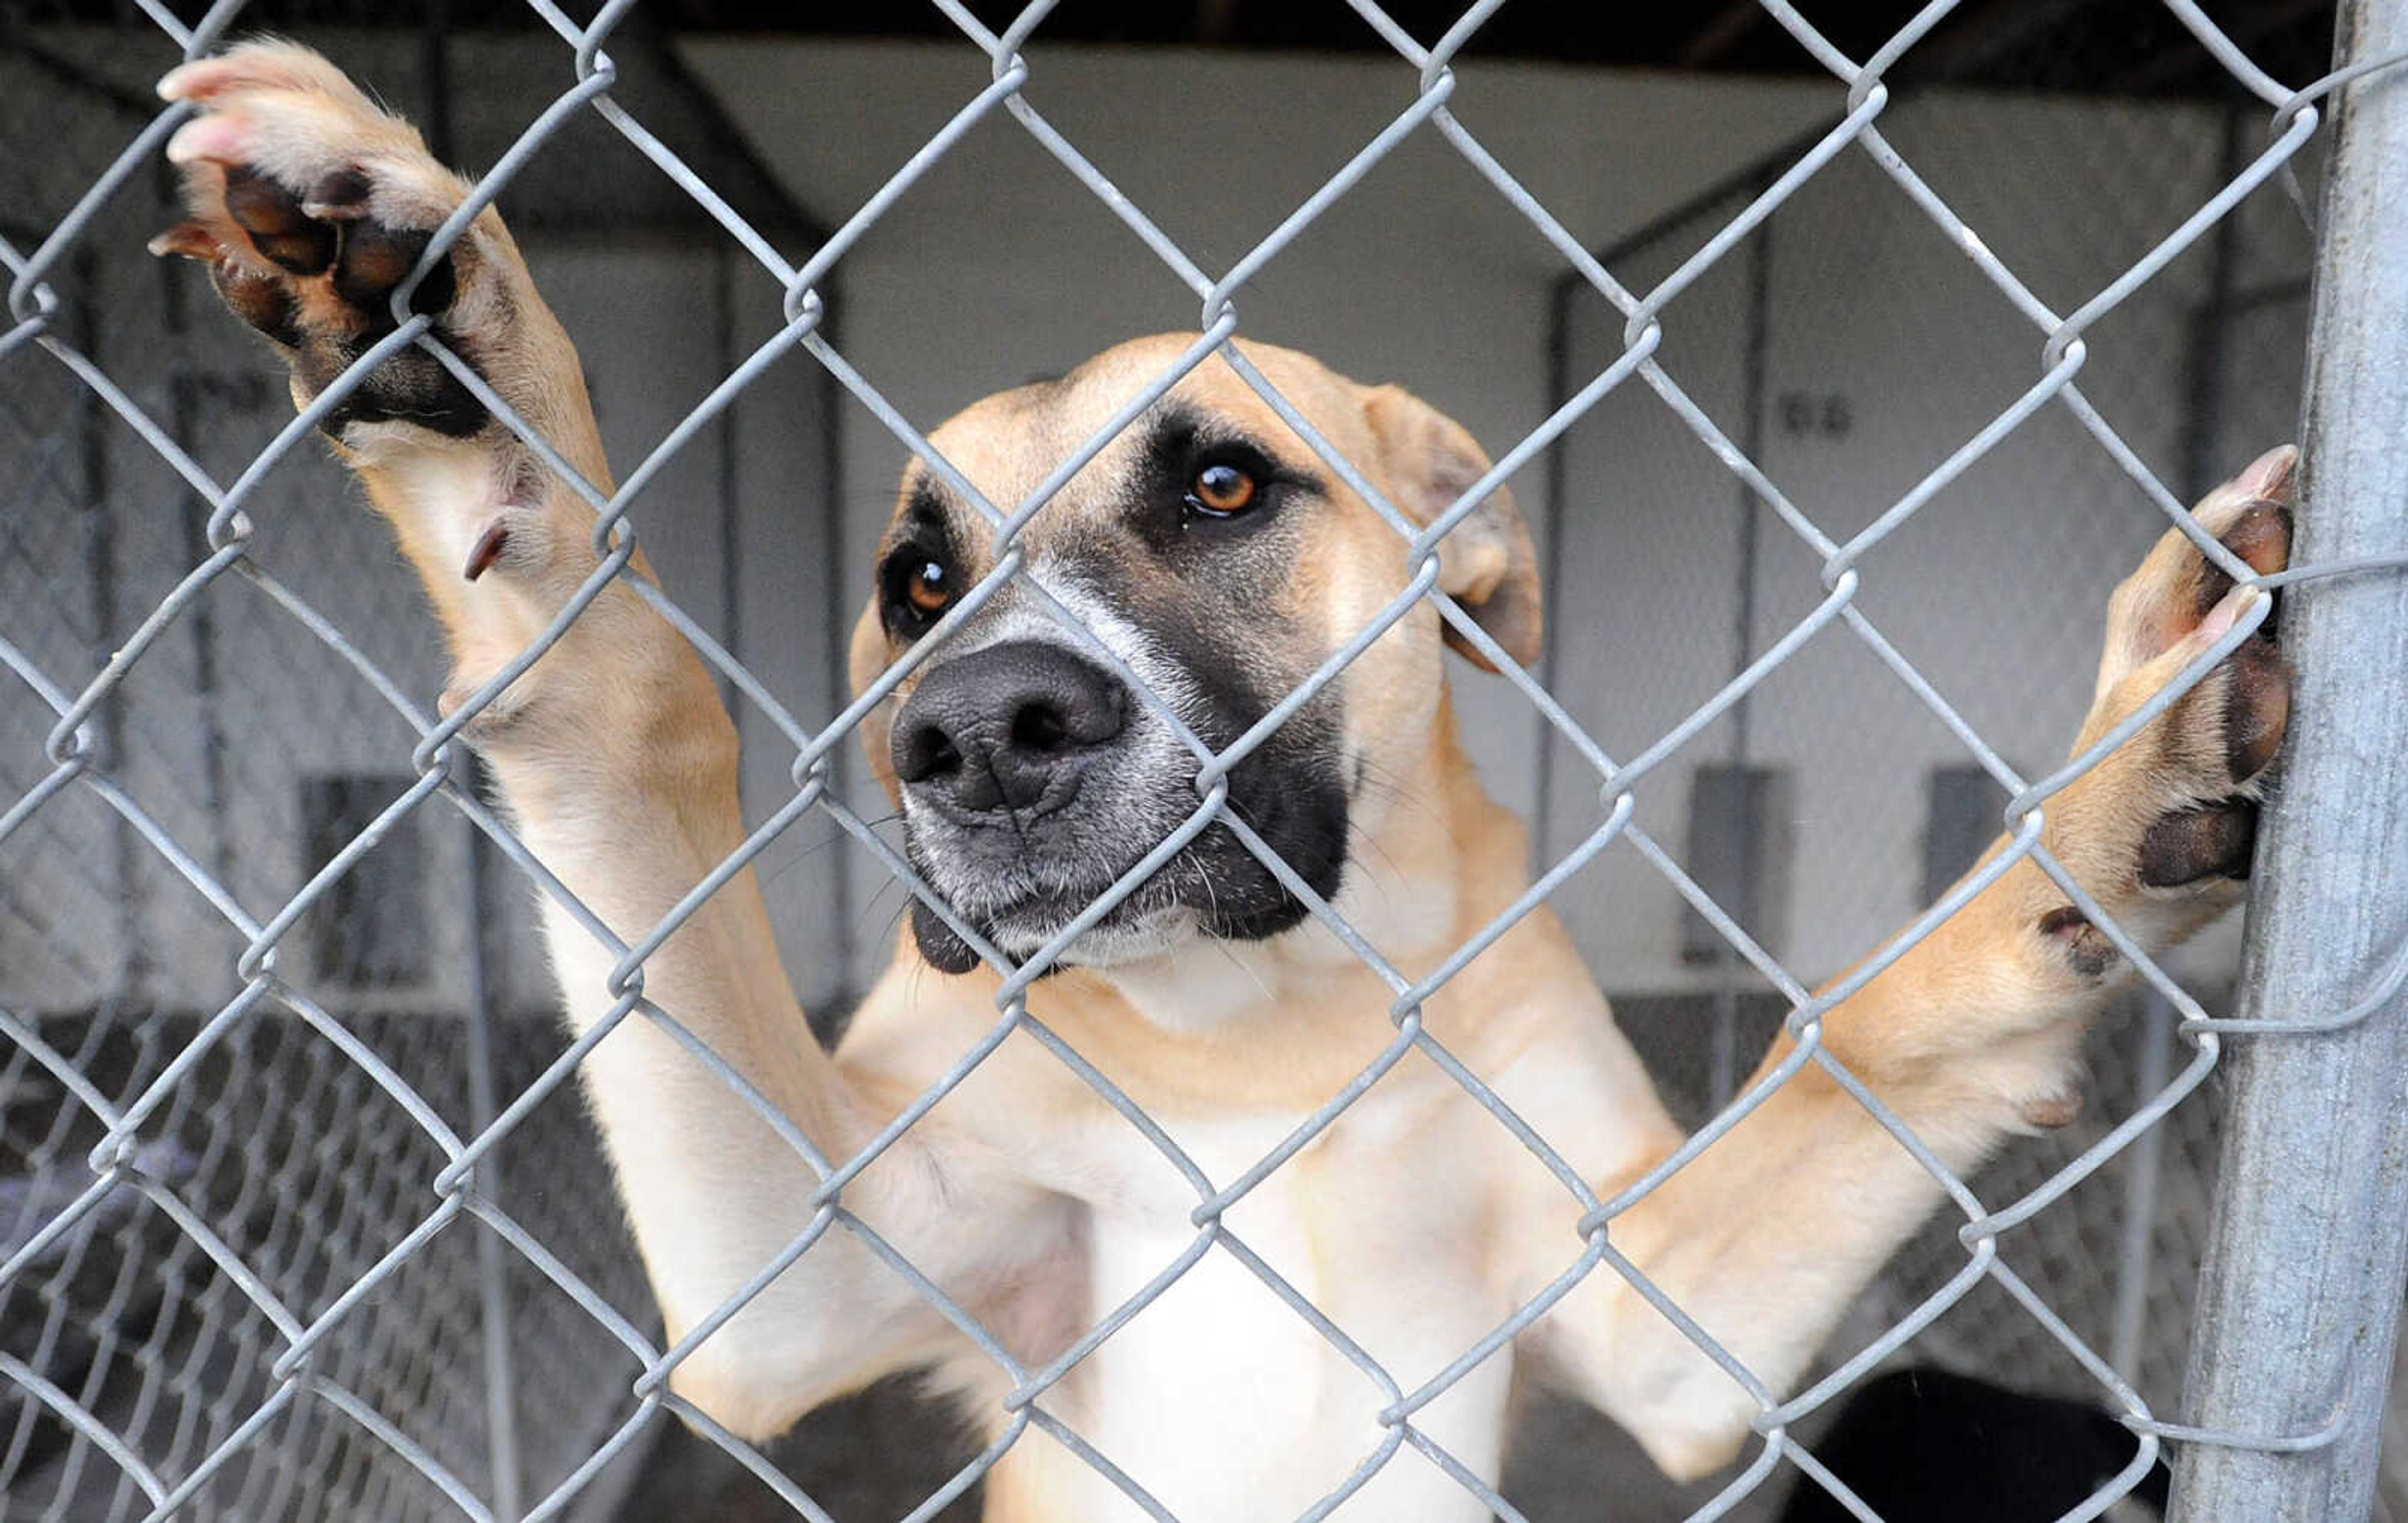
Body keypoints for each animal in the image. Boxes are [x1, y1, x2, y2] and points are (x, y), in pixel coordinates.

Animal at [150, 41, 2292, 1510]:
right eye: (915, 581)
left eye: (1223, 486)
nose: (980, 736)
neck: (1268, 1025)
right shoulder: (799, 1286)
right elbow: (631, 708)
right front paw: (467, 385)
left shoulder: (1654, 1329)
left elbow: (1863, 1031)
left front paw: (2112, 793)